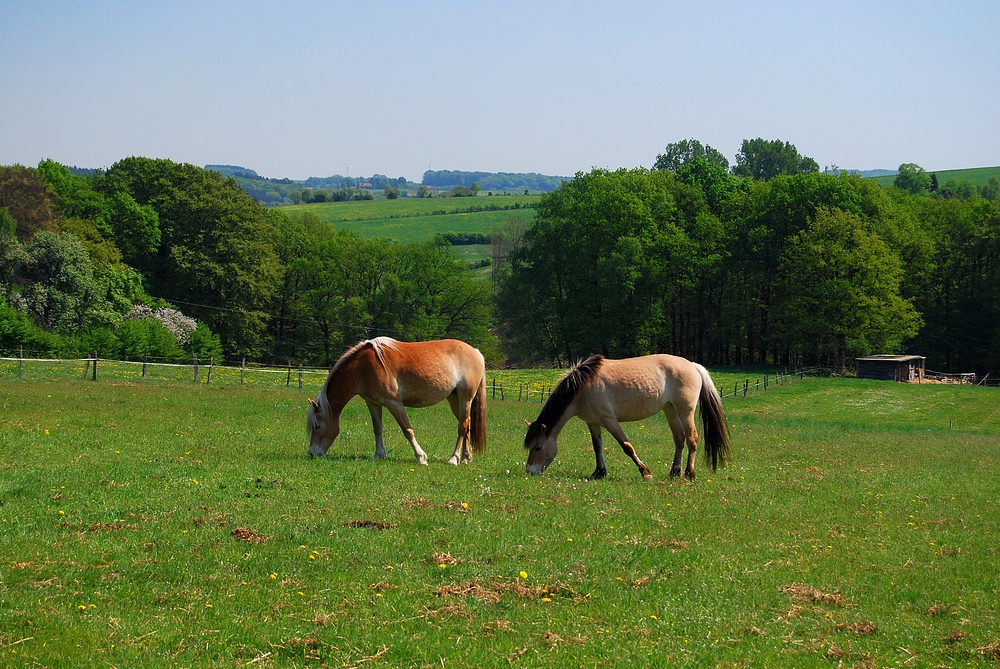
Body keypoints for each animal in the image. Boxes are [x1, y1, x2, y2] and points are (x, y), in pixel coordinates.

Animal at [308, 340, 488, 464]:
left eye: (318, 426)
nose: (312, 454)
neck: (363, 367)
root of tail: (475, 352)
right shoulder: (373, 403)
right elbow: (377, 429)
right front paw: (378, 455)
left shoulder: (394, 403)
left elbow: (407, 430)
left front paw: (421, 457)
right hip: (454, 399)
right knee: (467, 424)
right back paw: (465, 458)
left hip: (465, 398)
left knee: (462, 427)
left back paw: (454, 459)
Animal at [524, 354, 736, 480]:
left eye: (538, 447)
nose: (530, 471)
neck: (583, 387)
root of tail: (692, 365)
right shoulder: (593, 422)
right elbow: (597, 447)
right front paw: (599, 473)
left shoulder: (609, 420)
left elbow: (626, 446)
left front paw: (645, 472)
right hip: (670, 410)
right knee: (679, 439)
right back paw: (673, 472)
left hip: (686, 411)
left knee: (692, 439)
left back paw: (688, 474)